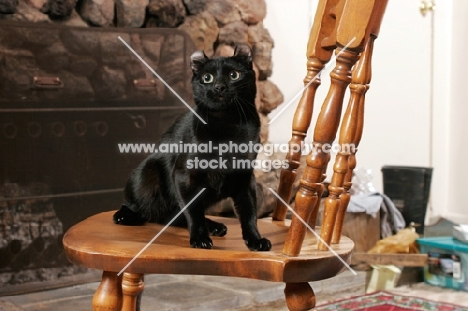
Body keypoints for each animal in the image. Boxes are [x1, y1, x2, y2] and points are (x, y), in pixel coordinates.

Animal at [113, 44, 270, 252]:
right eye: (207, 78)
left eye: (234, 75)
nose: (219, 87)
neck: (228, 124)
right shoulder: (184, 176)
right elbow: (193, 213)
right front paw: (200, 239)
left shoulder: (244, 178)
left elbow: (249, 212)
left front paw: (256, 240)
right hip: (148, 171)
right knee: (145, 208)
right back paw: (124, 216)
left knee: (173, 216)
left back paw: (215, 226)